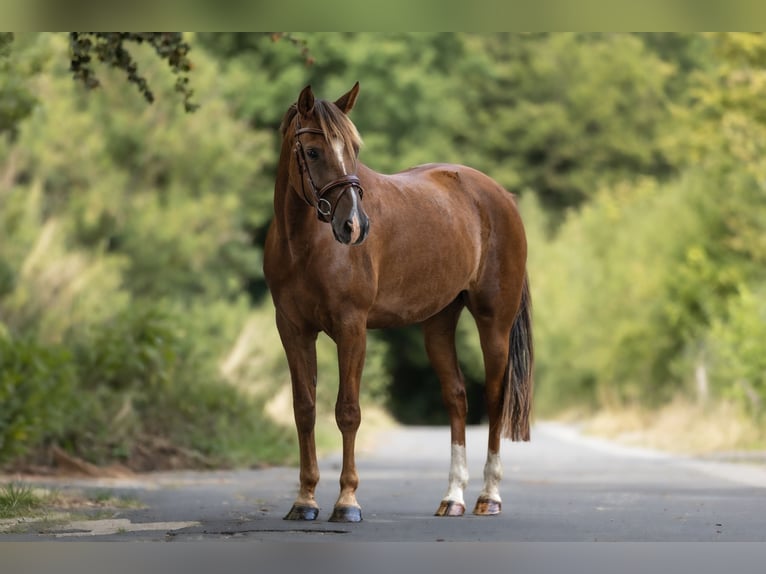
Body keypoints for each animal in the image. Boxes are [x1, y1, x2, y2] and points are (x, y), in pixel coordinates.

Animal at [263, 82, 533, 523]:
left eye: (354, 147)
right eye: (314, 152)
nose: (354, 226)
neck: (305, 244)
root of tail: (501, 197)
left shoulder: (351, 327)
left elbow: (347, 411)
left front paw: (347, 502)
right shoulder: (292, 328)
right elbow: (304, 409)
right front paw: (304, 500)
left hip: (495, 322)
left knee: (494, 398)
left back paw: (488, 496)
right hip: (439, 322)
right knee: (456, 398)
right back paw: (452, 497)